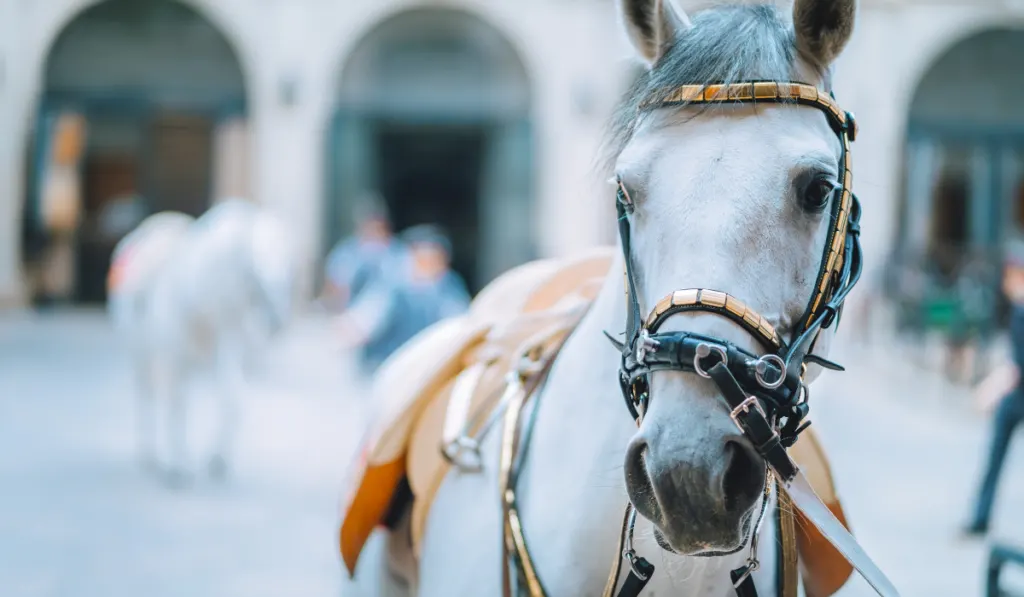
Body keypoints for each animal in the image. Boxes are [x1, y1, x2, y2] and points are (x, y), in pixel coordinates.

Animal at [110, 200, 299, 485]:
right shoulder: (174, 359)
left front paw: (217, 461)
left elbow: (232, 400)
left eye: (286, 260)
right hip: (139, 351)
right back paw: (150, 455)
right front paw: (179, 467)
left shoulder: (226, 347)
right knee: (147, 394)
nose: (279, 319)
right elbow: (178, 406)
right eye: (253, 263)